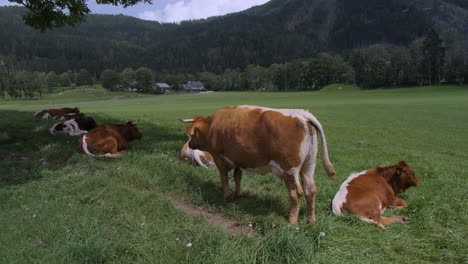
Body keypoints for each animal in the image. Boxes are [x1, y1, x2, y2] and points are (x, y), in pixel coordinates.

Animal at [179, 105, 336, 223]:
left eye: (193, 134)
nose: (190, 144)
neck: (212, 125)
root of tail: (301, 114)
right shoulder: (239, 159)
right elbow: (237, 177)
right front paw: (237, 196)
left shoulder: (219, 159)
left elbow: (224, 179)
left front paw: (225, 197)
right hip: (309, 166)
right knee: (311, 190)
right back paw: (311, 220)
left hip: (289, 170)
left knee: (296, 193)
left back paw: (292, 220)